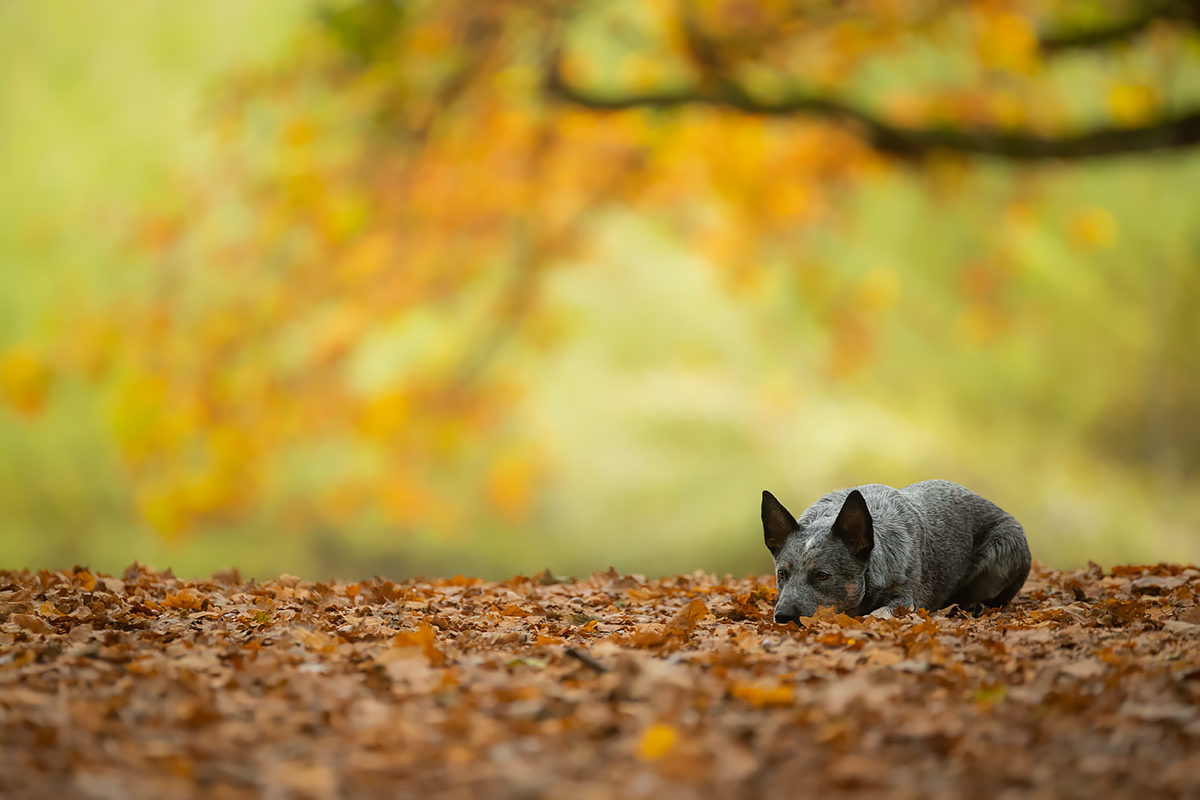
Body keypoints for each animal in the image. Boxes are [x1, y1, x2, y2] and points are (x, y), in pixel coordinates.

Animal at [758, 479, 1032, 623]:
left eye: (822, 576)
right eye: (782, 574)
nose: (782, 615)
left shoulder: (907, 599)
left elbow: (880, 612)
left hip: (1005, 550)